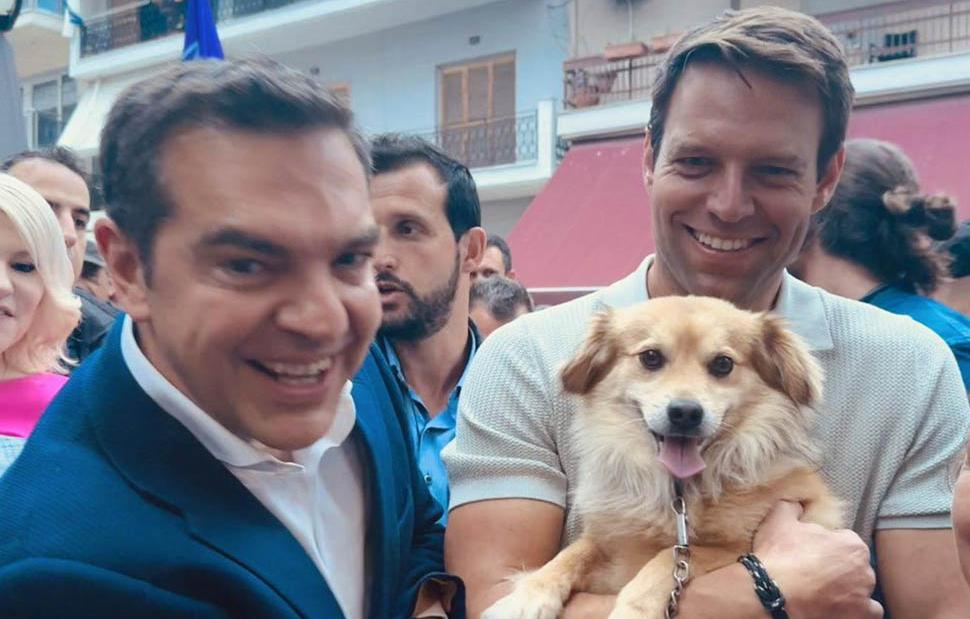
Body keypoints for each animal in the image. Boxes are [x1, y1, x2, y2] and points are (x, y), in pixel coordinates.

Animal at [482, 295, 842, 619]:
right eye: (651, 358)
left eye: (723, 364)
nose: (685, 412)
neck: (678, 492)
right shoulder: (607, 543)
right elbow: (572, 553)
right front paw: (526, 597)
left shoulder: (738, 546)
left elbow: (668, 558)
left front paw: (632, 612)